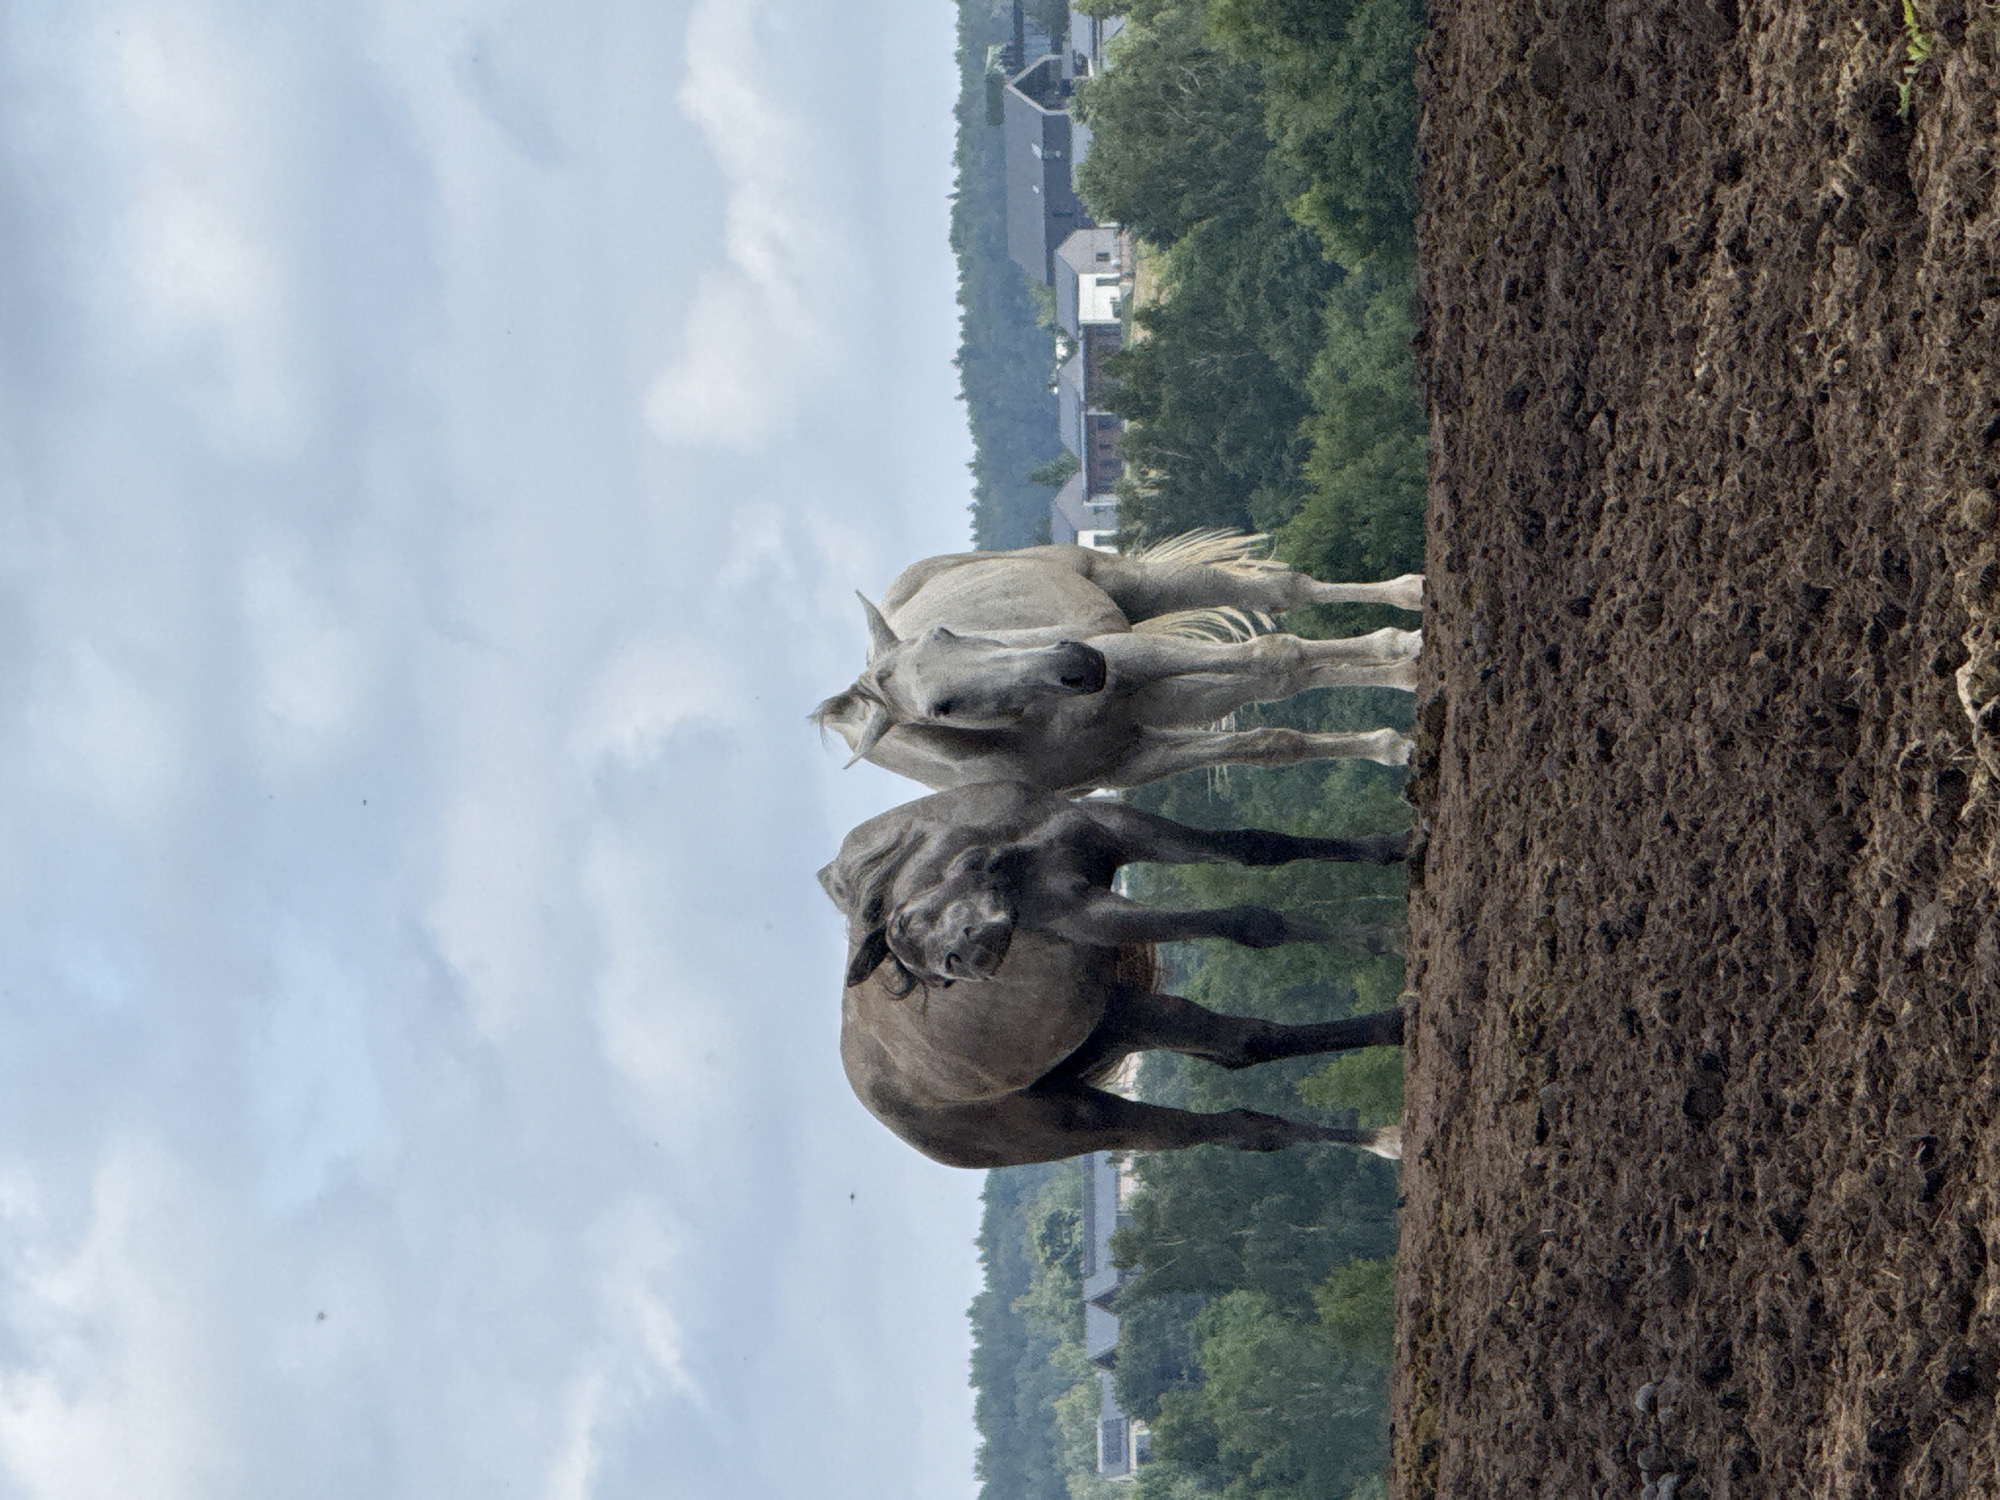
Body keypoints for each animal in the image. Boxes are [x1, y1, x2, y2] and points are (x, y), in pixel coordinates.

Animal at [812, 532, 1424, 793]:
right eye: (942, 707)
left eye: (945, 632)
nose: (1078, 665)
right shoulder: (1139, 756)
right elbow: (1273, 741)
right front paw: (1396, 742)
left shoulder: (1130, 658)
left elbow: (1279, 654)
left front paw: (1405, 651)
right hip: (1171, 699)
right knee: (1274, 683)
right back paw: (1403, 684)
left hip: (1134, 589)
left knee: (1284, 596)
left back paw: (1412, 606)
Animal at [820, 779, 1409, 990]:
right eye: (937, 976)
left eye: (909, 919)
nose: (960, 959)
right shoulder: (1089, 913)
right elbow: (1252, 924)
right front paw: (1384, 938)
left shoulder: (1114, 829)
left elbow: (1255, 847)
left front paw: (1395, 846)